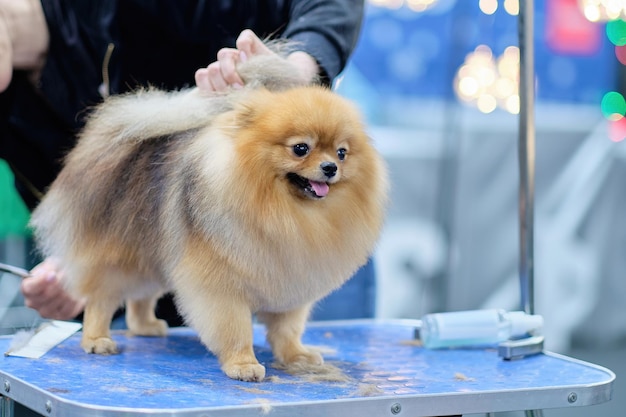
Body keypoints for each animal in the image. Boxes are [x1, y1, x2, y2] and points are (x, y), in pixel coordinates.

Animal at [33, 48, 390, 380]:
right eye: (300, 148)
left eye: (342, 153)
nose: (330, 168)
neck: (286, 212)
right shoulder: (220, 286)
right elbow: (235, 328)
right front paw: (243, 364)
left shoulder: (292, 282)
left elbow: (287, 329)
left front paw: (295, 356)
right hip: (120, 258)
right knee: (101, 299)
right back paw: (97, 339)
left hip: (157, 254)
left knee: (141, 298)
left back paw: (145, 326)